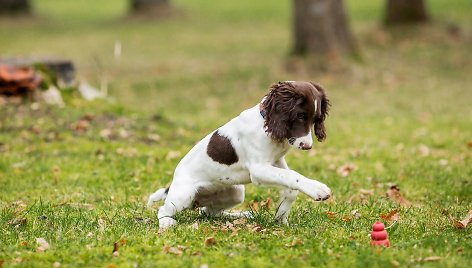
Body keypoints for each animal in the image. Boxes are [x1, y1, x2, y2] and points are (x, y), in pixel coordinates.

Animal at [148, 80, 332, 228]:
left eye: (317, 119)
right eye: (300, 116)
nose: (307, 146)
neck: (267, 123)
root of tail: (173, 183)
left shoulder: (276, 161)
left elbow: (290, 183)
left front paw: (281, 216)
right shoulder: (259, 170)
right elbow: (292, 175)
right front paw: (317, 189)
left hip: (235, 193)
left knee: (208, 212)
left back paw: (242, 215)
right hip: (183, 196)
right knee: (163, 209)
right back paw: (167, 222)